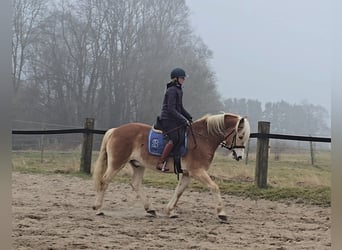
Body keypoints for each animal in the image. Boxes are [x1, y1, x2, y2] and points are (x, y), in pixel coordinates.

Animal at [92, 113, 250, 221]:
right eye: (240, 136)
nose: (239, 157)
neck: (203, 138)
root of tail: (115, 130)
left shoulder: (187, 173)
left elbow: (179, 191)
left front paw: (170, 211)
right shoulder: (197, 171)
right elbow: (214, 187)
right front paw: (222, 213)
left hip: (138, 165)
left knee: (135, 184)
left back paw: (150, 209)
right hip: (117, 163)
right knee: (104, 181)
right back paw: (98, 209)